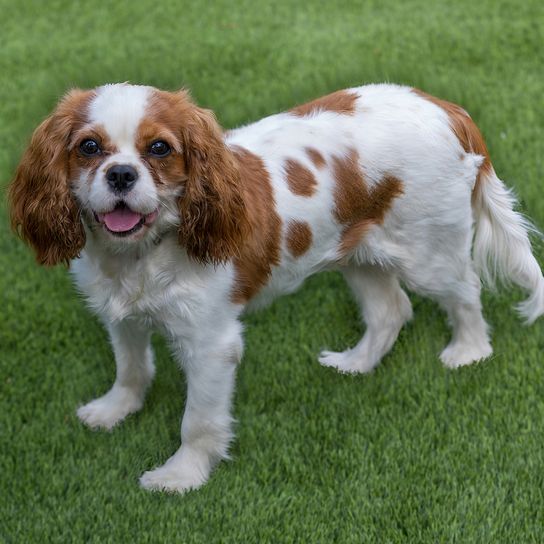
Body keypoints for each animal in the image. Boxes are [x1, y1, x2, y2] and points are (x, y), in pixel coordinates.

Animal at [9, 82, 544, 492]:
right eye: (89, 147)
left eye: (159, 148)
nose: (121, 174)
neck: (140, 252)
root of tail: (445, 107)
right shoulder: (121, 317)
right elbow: (131, 368)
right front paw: (115, 410)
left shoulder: (211, 343)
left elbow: (198, 420)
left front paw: (181, 476)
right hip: (357, 253)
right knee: (391, 310)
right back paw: (355, 364)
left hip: (428, 253)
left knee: (465, 292)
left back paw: (468, 352)